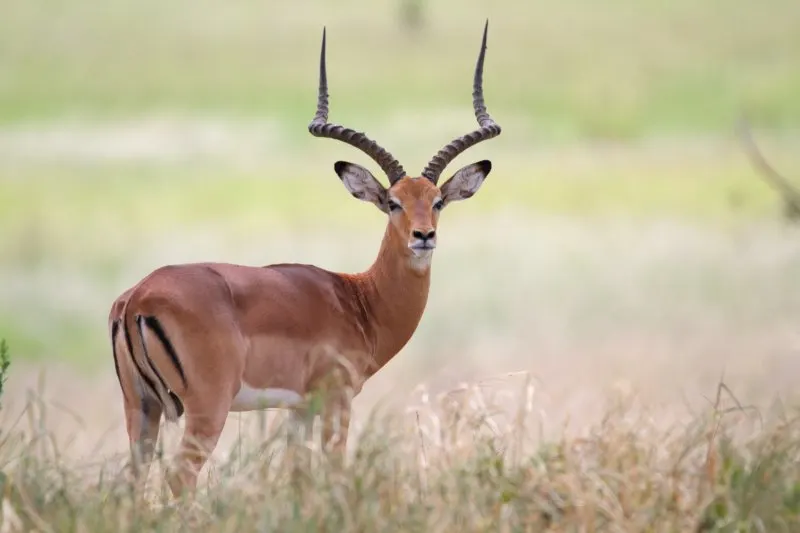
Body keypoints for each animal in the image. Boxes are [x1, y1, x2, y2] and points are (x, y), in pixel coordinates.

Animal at [109, 20, 504, 494]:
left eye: (438, 201)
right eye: (392, 202)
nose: (423, 236)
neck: (359, 300)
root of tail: (137, 299)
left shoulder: (299, 408)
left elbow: (295, 473)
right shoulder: (337, 398)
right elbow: (333, 469)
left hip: (140, 409)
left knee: (130, 482)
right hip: (207, 408)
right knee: (179, 478)